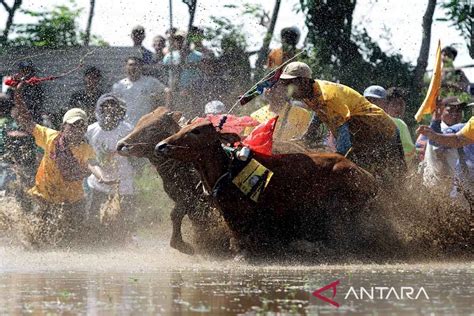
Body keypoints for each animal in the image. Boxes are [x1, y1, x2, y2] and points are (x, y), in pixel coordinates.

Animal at [116, 108, 217, 254]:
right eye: (138, 124)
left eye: (152, 128)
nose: (121, 145)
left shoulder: (193, 198)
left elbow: (175, 214)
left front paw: (182, 245)